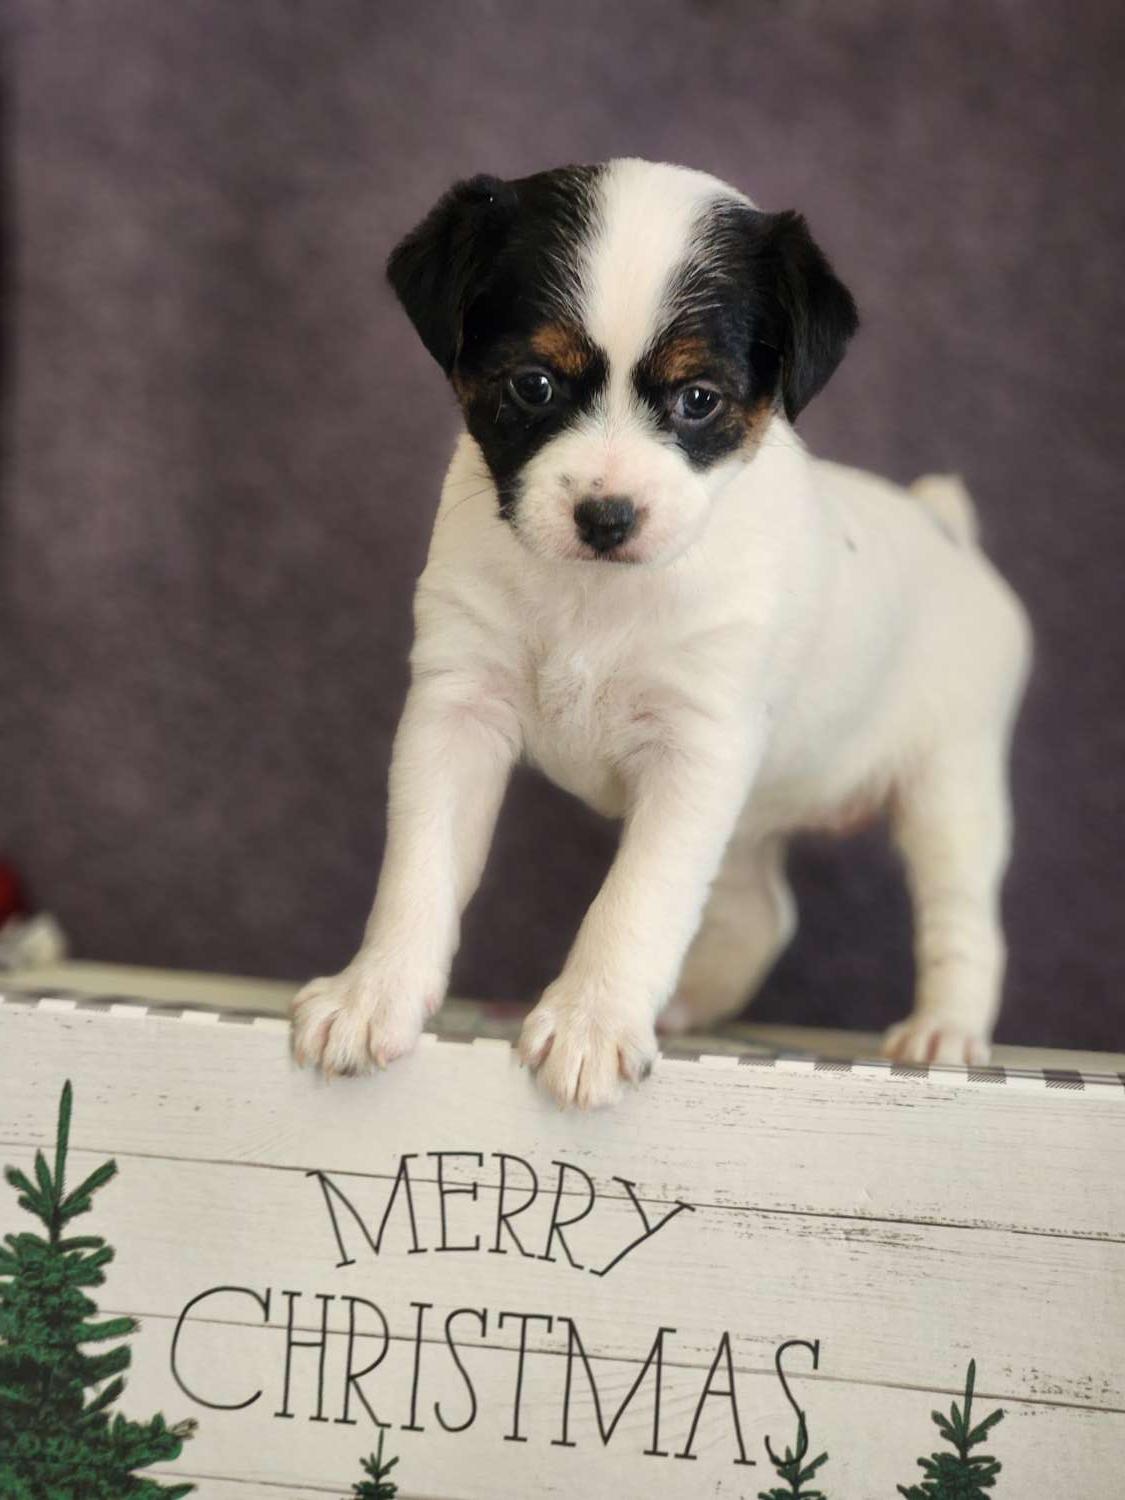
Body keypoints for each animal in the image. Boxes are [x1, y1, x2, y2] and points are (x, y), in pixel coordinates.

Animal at [291, 159, 1031, 1108]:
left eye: (697, 399)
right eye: (533, 385)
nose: (606, 515)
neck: (594, 597)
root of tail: (947, 532)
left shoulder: (693, 752)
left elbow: (637, 899)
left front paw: (592, 1020)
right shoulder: (456, 711)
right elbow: (419, 867)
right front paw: (373, 991)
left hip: (950, 787)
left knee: (963, 920)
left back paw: (944, 1031)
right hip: (753, 817)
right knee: (760, 914)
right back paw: (686, 1006)